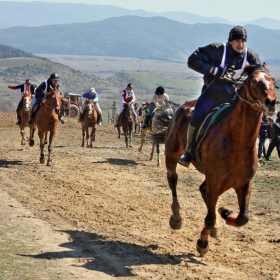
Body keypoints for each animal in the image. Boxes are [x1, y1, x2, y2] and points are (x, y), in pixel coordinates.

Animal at [160, 64, 278, 256]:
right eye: (254, 81)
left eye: (273, 80)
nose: (271, 102)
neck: (238, 141)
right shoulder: (215, 184)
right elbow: (209, 218)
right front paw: (202, 243)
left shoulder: (244, 183)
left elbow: (243, 218)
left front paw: (225, 213)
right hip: (172, 154)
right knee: (173, 180)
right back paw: (176, 217)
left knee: (203, 191)